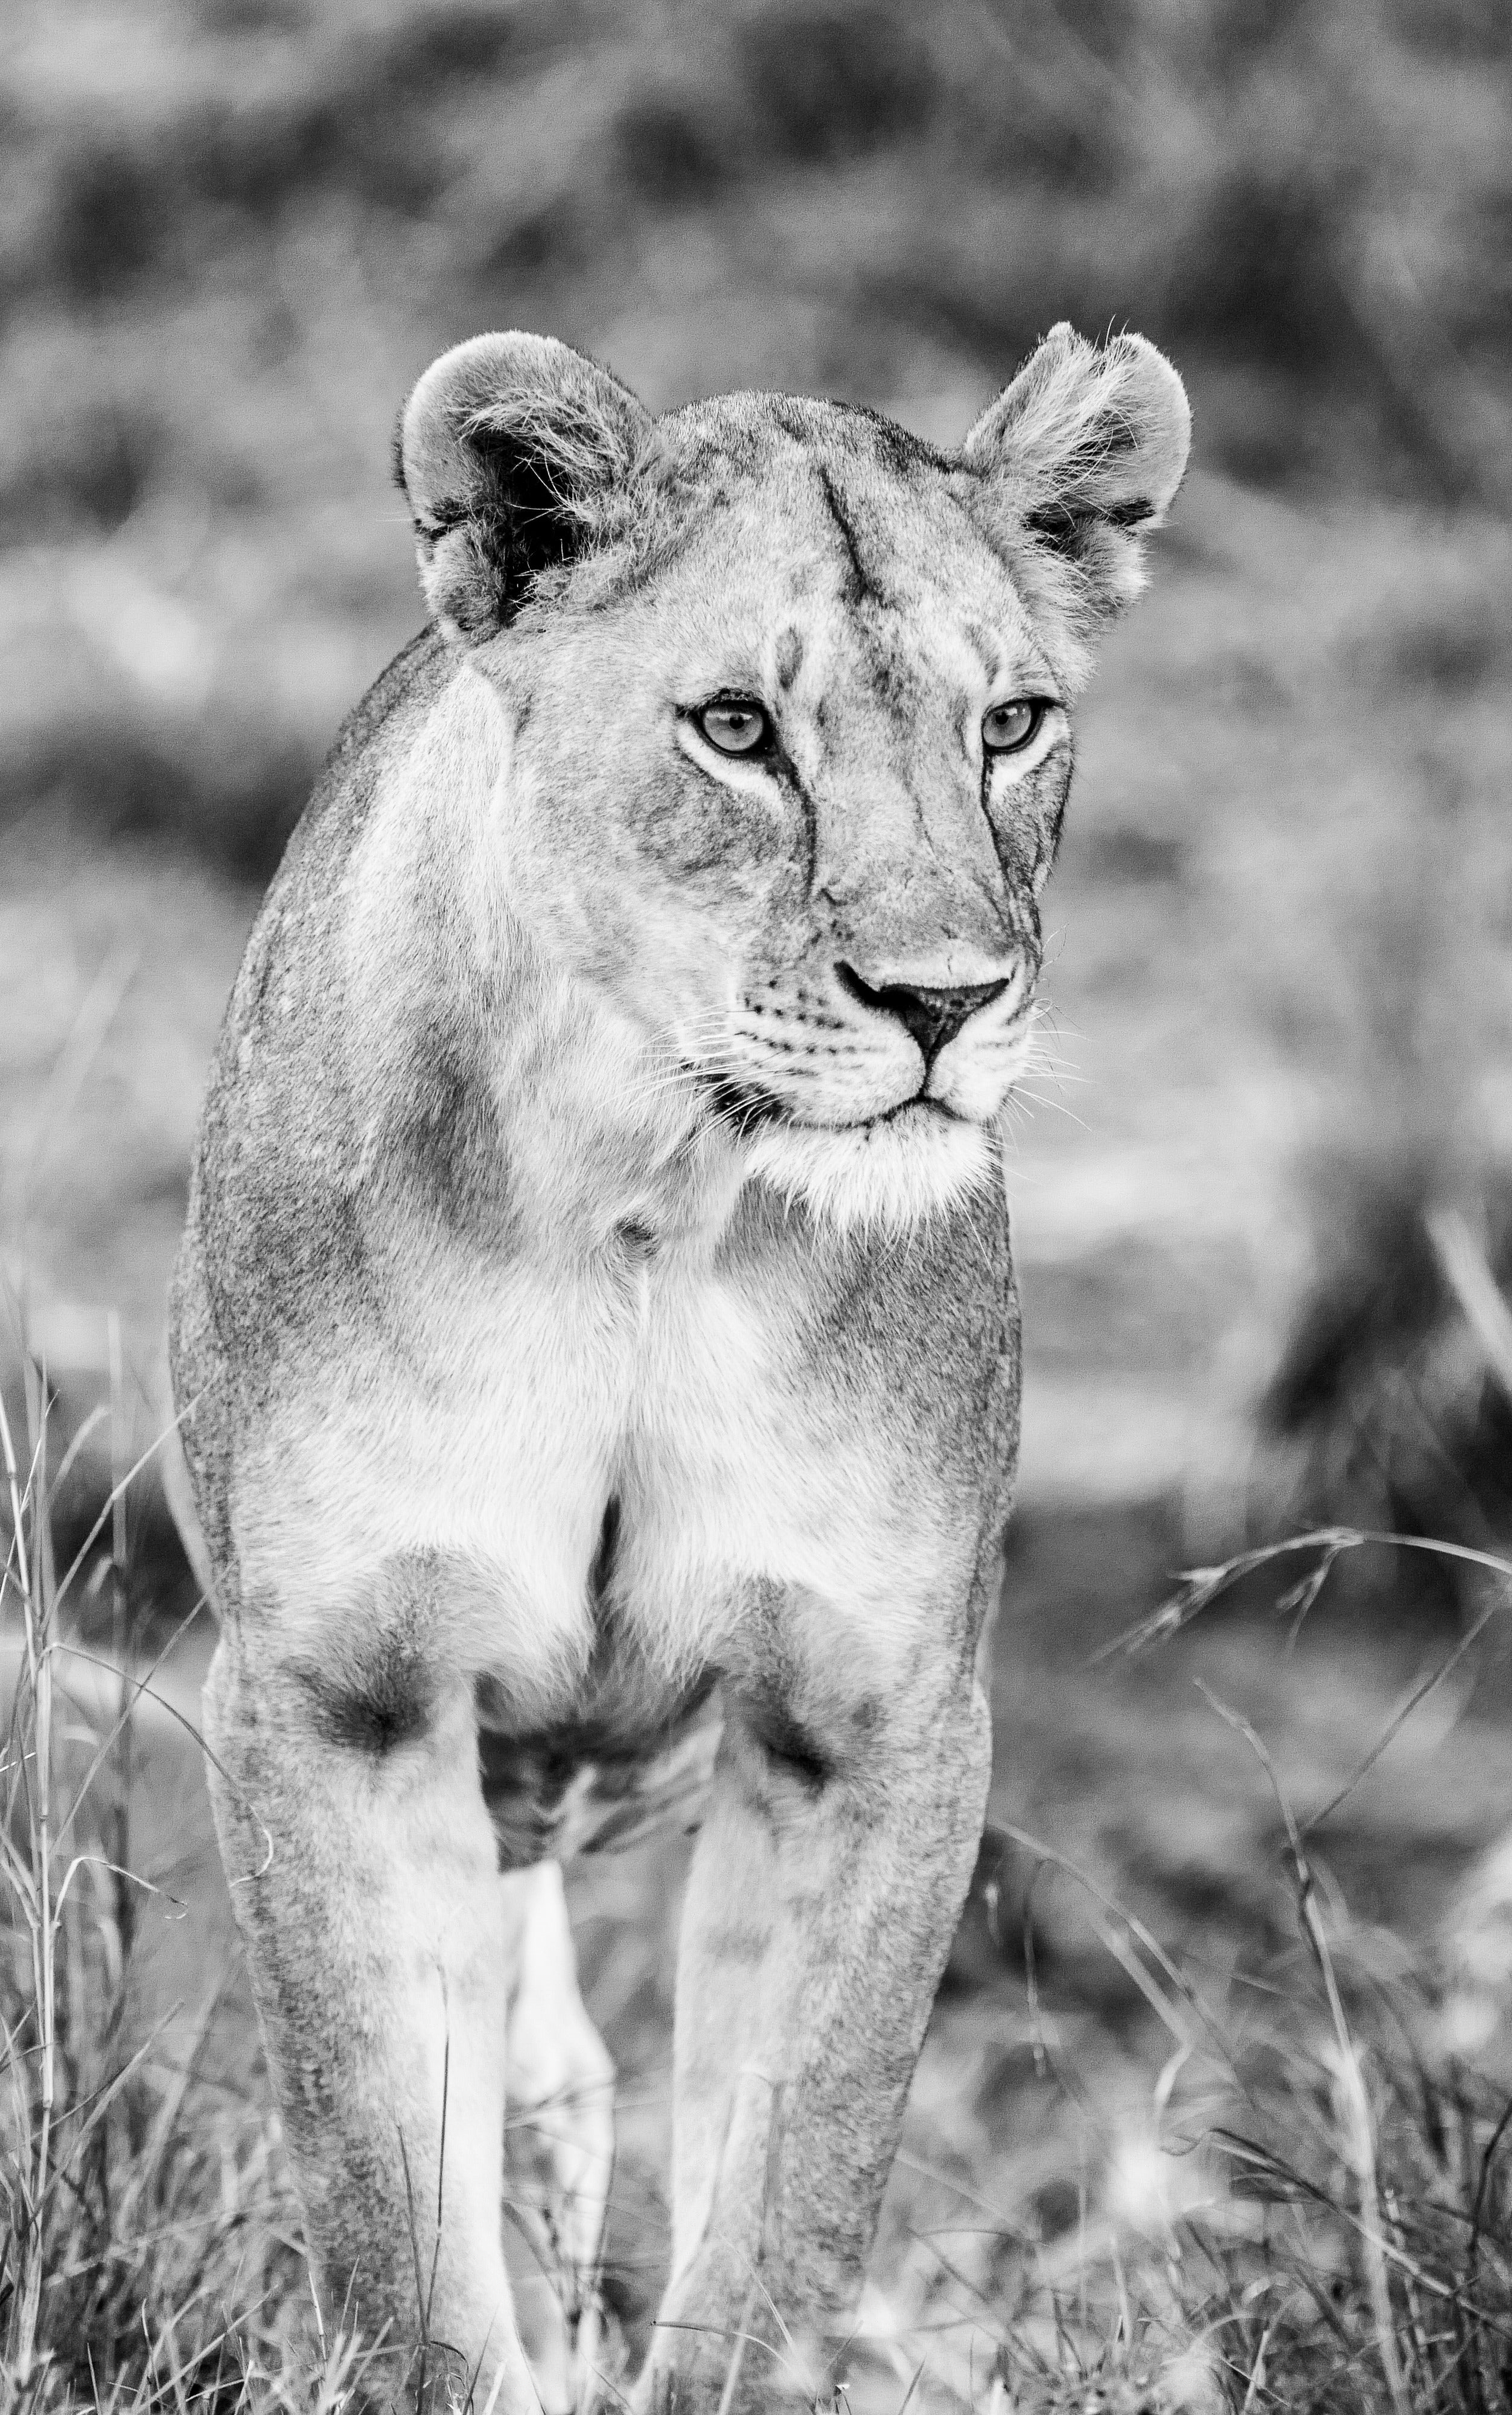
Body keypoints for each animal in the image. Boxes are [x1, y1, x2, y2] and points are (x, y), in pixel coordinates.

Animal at [168, 322, 1189, 2411]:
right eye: (734, 729)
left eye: (1011, 724)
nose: (947, 1002)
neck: (653, 1196)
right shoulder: (333, 1699)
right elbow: (396, 2216)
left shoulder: (871, 1716)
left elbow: (787, 2206)